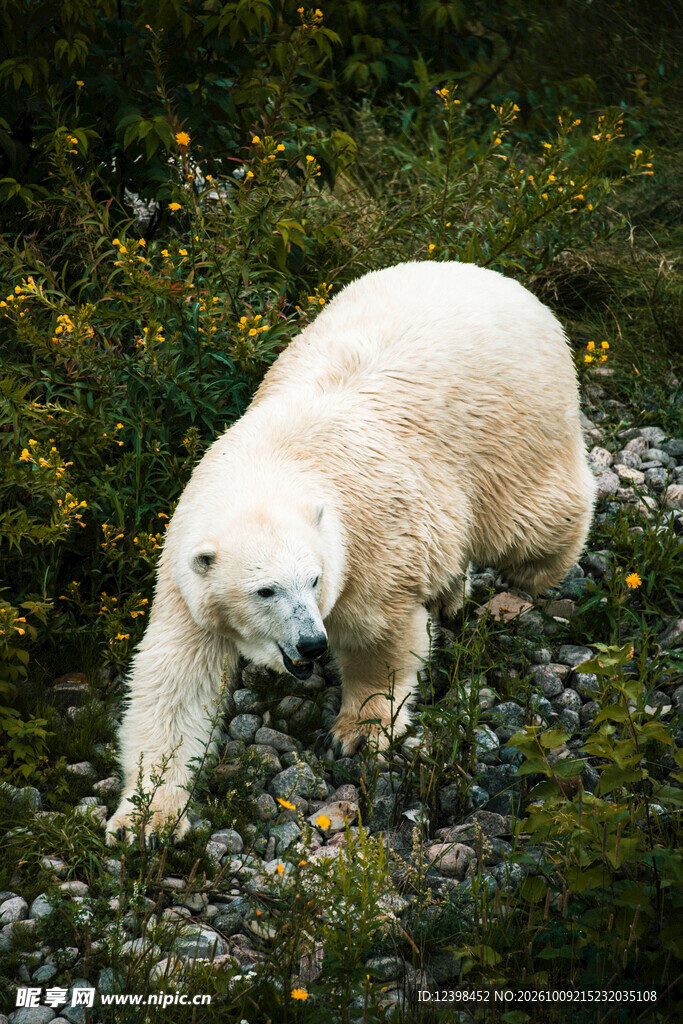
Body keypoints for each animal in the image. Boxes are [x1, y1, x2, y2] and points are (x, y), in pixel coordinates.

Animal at [106, 260, 595, 842]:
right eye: (264, 590)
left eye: (314, 579)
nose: (312, 644)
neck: (270, 465)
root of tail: (497, 277)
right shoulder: (185, 573)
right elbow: (175, 682)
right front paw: (144, 818)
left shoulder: (369, 541)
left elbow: (378, 636)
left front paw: (356, 731)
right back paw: (451, 594)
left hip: (512, 428)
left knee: (533, 521)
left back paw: (531, 577)